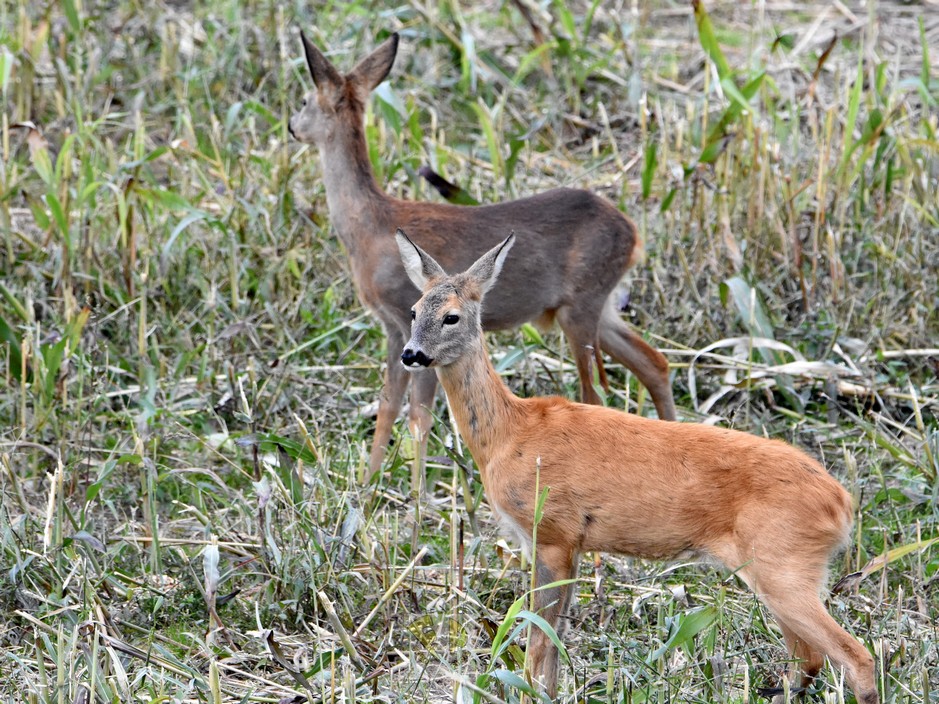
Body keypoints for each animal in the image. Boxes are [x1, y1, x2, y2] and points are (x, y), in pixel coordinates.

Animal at [286, 28, 676, 490]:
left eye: (304, 100)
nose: (292, 127)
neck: (370, 226)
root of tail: (633, 235)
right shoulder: (396, 329)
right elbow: (386, 408)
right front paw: (367, 486)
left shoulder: (403, 322)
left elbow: (417, 417)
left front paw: (415, 496)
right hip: (595, 307)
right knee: (654, 362)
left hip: (581, 308)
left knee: (595, 390)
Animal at [396, 231, 880, 704]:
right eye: (414, 309)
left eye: (453, 316)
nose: (411, 354)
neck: (509, 434)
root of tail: (842, 504)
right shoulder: (571, 544)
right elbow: (554, 647)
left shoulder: (551, 533)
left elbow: (538, 644)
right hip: (783, 572)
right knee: (807, 661)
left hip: (783, 565)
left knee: (856, 658)